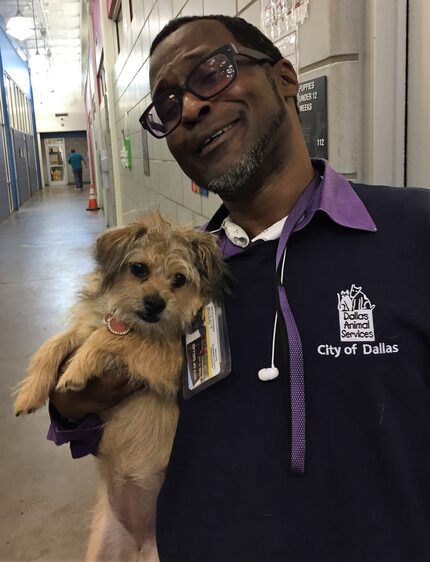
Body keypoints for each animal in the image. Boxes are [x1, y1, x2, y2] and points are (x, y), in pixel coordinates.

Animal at [13, 212, 225, 560]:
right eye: (138, 268)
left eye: (179, 279)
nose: (154, 304)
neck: (132, 320)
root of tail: (140, 545)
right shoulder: (85, 327)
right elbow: (55, 343)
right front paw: (30, 392)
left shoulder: (168, 360)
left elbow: (110, 337)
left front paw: (76, 369)